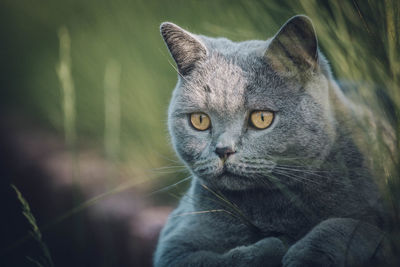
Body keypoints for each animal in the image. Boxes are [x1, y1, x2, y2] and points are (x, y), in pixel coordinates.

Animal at [154, 15, 394, 266]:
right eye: (200, 120)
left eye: (262, 118)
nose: (223, 150)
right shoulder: (174, 241)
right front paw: (271, 246)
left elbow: (347, 227)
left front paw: (303, 255)